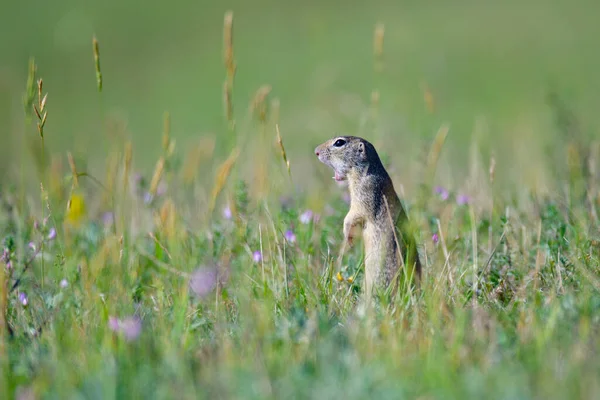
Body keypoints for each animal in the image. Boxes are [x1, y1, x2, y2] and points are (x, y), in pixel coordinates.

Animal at [316, 137, 420, 296]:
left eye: (339, 142)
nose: (316, 151)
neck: (367, 170)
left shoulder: (365, 193)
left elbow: (353, 215)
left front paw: (347, 235)